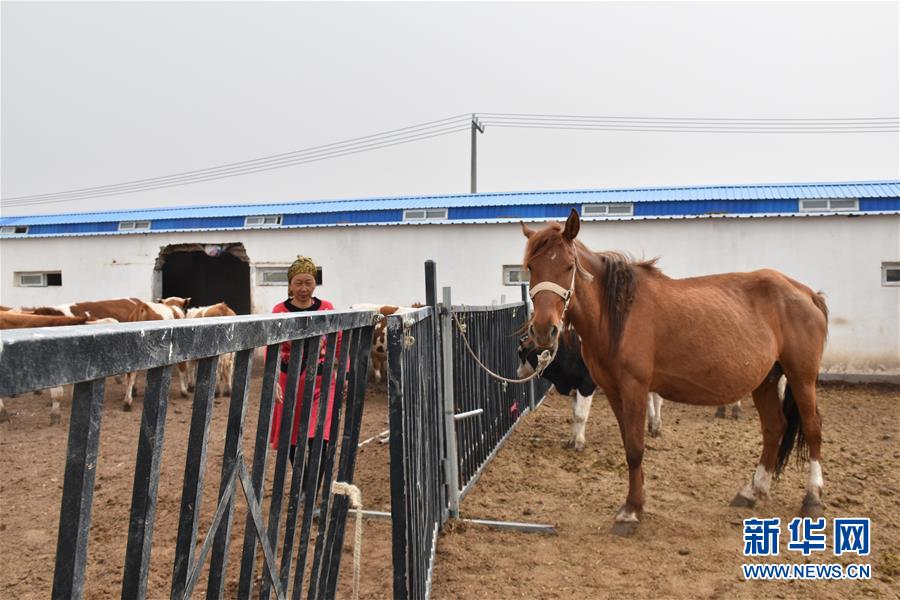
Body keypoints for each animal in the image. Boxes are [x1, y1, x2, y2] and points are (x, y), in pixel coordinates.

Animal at [520, 211, 828, 536]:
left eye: (568, 266)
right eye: (531, 267)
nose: (544, 330)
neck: (618, 315)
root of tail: (808, 294)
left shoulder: (634, 388)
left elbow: (635, 448)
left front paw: (630, 511)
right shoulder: (614, 391)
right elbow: (629, 444)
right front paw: (636, 503)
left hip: (801, 377)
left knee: (812, 428)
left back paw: (812, 497)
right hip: (766, 380)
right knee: (773, 428)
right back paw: (753, 491)